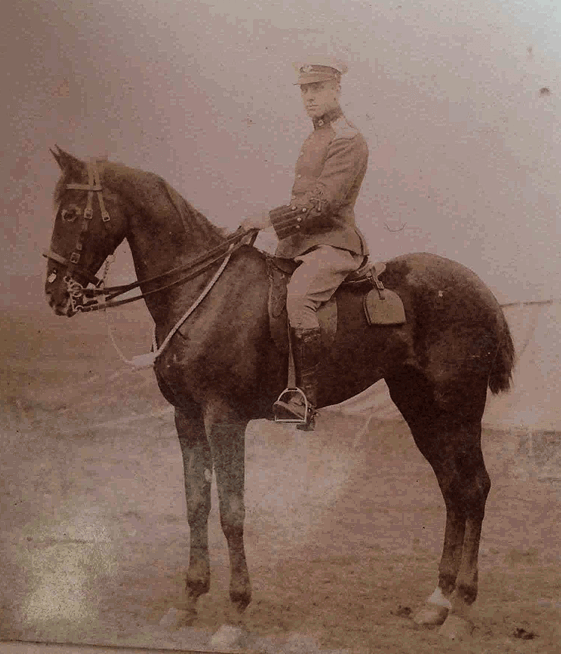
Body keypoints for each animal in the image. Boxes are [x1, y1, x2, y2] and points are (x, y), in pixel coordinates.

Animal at [46, 147, 516, 640]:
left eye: (71, 213)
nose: (54, 292)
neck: (201, 292)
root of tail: (483, 292)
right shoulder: (187, 417)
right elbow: (196, 503)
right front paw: (191, 598)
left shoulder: (224, 418)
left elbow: (232, 512)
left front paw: (235, 611)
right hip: (420, 409)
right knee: (453, 489)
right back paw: (437, 601)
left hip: (459, 408)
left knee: (474, 487)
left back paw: (462, 607)